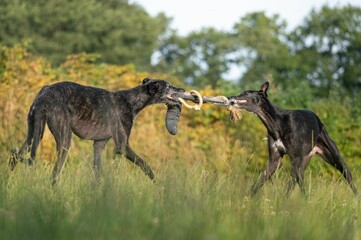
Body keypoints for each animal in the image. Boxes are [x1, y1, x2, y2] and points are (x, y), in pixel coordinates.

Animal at [228, 82, 358, 195]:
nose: (229, 97)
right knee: (300, 181)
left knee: (348, 176)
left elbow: (289, 184)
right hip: (304, 161)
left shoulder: (295, 159)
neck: (277, 123)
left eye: (245, 93)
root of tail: (319, 121)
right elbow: (259, 181)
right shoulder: (275, 159)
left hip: (335, 158)